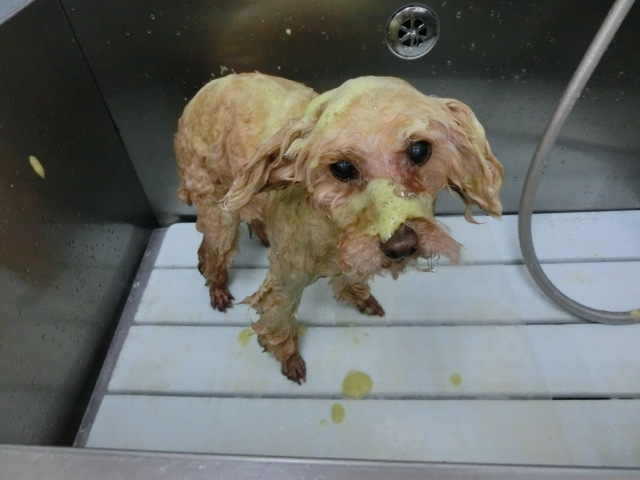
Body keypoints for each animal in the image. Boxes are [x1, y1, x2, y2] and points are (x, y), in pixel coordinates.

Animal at [175, 73, 503, 384]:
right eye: (342, 168)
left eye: (420, 150)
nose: (401, 248)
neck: (335, 232)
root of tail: (206, 90)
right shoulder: (285, 281)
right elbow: (277, 318)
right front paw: (289, 359)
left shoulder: (353, 254)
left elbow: (350, 277)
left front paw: (361, 297)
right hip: (218, 209)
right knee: (213, 249)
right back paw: (216, 286)